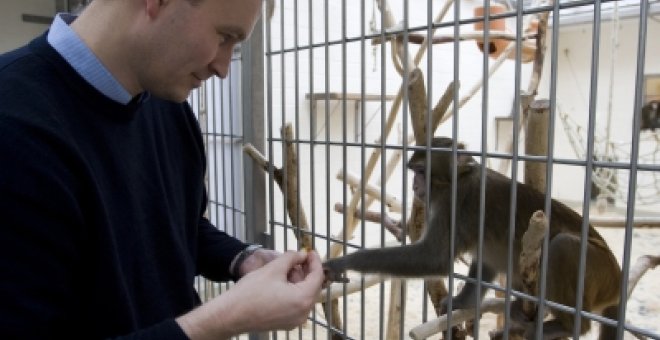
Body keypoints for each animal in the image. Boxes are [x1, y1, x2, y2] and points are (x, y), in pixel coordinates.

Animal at [326, 137, 624, 340]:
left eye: (421, 171)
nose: (414, 185)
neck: (458, 179)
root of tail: (618, 280)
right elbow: (485, 260)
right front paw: (460, 302)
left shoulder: (454, 203)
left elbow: (434, 259)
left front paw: (345, 262)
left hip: (600, 271)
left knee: (563, 246)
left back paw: (567, 326)